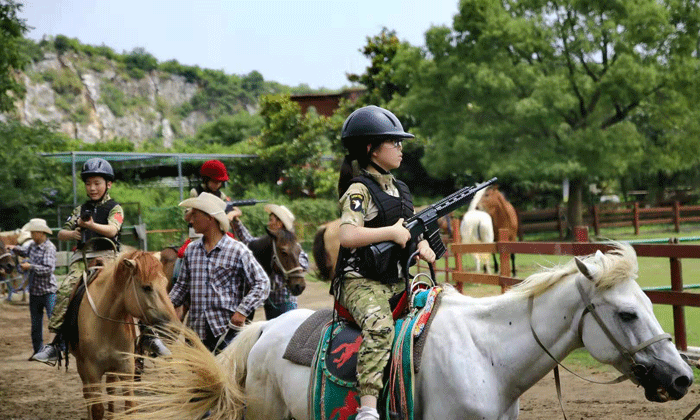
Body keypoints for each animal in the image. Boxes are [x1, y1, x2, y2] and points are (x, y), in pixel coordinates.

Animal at [71, 251, 179, 418]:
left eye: (165, 282)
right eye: (147, 287)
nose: (174, 328)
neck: (105, 326)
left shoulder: (126, 368)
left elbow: (130, 407)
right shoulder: (92, 371)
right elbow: (97, 409)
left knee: (110, 389)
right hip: (81, 366)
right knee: (87, 394)